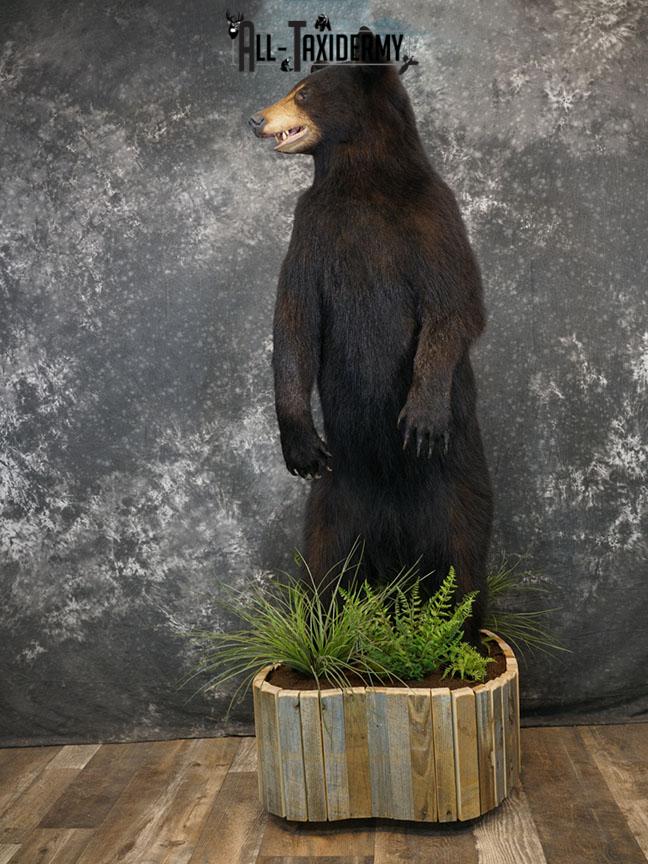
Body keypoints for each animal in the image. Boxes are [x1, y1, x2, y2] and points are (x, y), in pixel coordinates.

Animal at [249, 31, 493, 649]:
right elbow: (294, 321)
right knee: (322, 571)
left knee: (464, 562)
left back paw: (460, 639)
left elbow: (456, 308)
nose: (255, 118)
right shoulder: (311, 229)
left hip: (460, 495)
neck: (362, 179)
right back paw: (326, 639)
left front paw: (421, 417)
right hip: (332, 508)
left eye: (304, 90)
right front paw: (300, 443)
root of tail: (395, 557)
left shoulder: (434, 217)